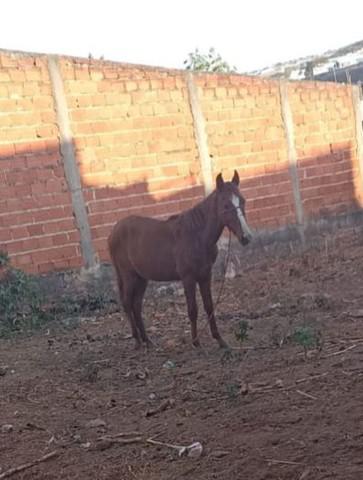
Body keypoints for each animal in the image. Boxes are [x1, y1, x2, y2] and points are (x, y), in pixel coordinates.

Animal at [109, 171, 253, 350]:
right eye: (226, 205)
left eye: (243, 201)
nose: (246, 237)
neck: (197, 235)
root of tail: (114, 231)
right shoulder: (188, 278)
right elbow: (193, 310)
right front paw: (196, 342)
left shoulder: (205, 275)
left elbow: (209, 306)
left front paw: (220, 341)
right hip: (128, 276)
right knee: (127, 303)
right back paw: (137, 341)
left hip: (141, 278)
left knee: (136, 305)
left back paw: (147, 341)